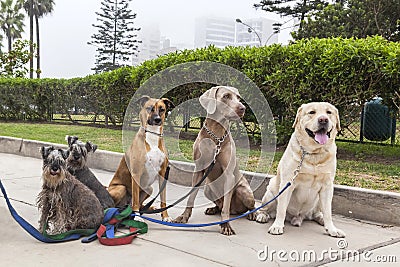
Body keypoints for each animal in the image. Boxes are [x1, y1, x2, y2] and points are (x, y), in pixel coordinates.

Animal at [174, 86, 256, 237]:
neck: (216, 134)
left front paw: (226, 226)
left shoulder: (229, 175)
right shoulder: (198, 170)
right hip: (208, 189)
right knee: (220, 205)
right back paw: (212, 209)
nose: (242, 108)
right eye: (226, 96)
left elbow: (225, 209)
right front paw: (184, 216)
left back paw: (253, 214)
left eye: (238, 98)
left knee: (246, 206)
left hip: (244, 190)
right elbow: (191, 197)